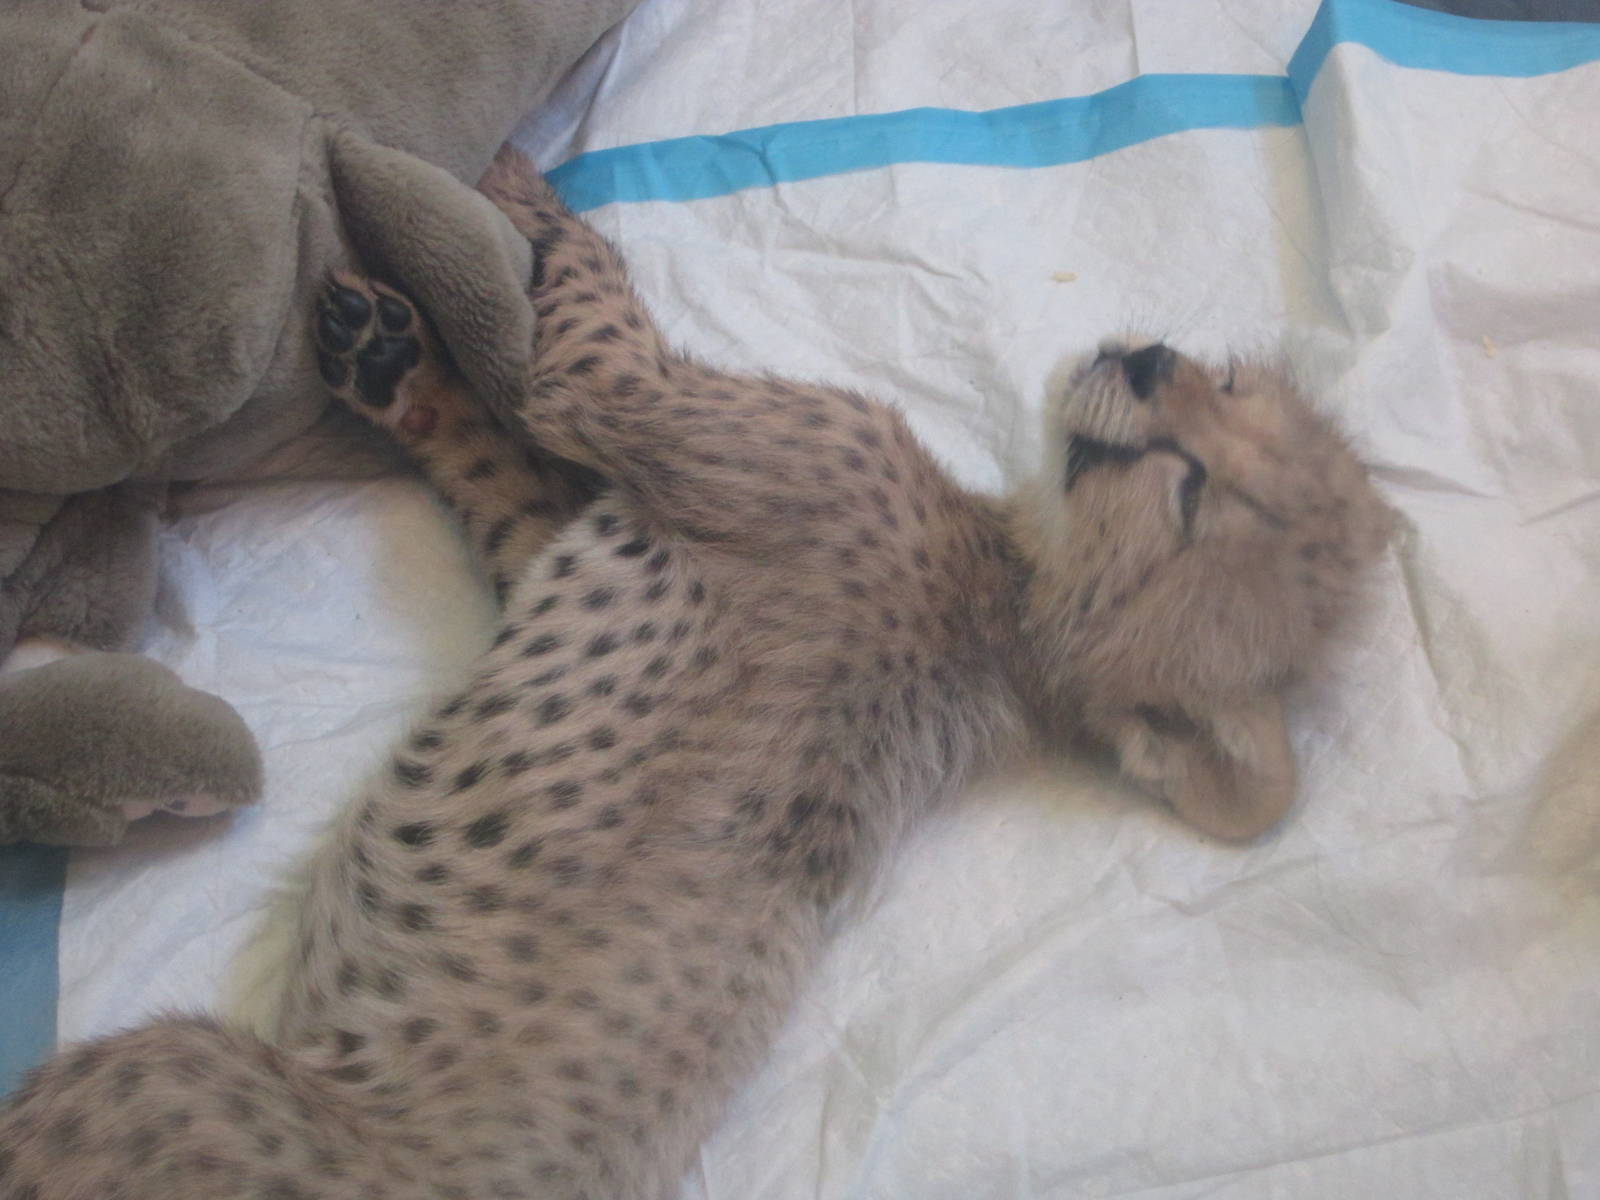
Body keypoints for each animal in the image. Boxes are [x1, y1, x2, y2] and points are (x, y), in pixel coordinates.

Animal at [0, 146, 1391, 1200]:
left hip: (159, 1074)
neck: (1006, 594)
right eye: (1223, 385)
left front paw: (521, 190)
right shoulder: (580, 536)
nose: (1147, 358)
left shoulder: (627, 395)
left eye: (1190, 491)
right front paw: (403, 366)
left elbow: (582, 318)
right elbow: (502, 470)